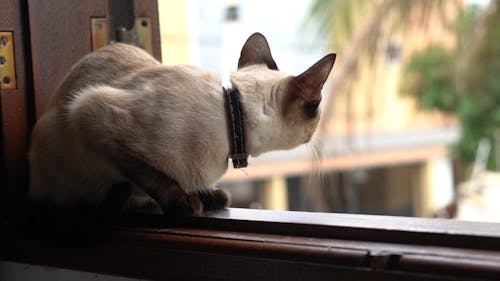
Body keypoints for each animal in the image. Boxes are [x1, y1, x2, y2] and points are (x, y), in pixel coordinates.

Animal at [26, 32, 336, 221]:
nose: (315, 135)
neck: (231, 118)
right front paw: (184, 203)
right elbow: (155, 176)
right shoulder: (92, 114)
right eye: (317, 111)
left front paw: (207, 195)